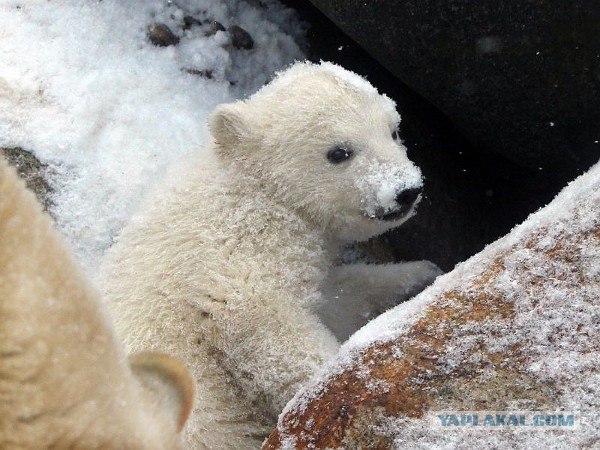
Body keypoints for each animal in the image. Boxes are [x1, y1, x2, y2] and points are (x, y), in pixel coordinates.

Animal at [101, 61, 440, 448]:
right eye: (339, 152)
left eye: (394, 129)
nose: (405, 190)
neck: (255, 190)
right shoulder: (232, 256)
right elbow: (266, 325)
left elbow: (337, 297)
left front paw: (419, 276)